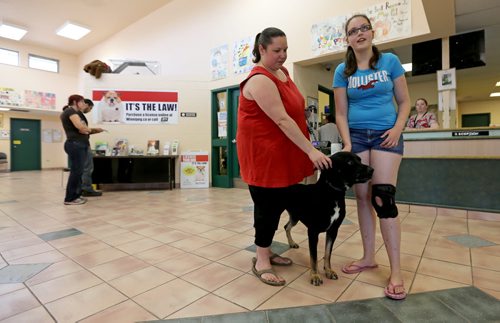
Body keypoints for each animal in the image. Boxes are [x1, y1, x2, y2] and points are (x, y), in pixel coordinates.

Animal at [286, 152, 372, 286]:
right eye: (350, 162)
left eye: (360, 159)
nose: (372, 170)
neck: (332, 193)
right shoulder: (313, 232)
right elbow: (314, 257)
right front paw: (315, 275)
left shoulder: (333, 230)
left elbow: (328, 253)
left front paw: (328, 270)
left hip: (295, 216)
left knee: (287, 226)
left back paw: (292, 243)